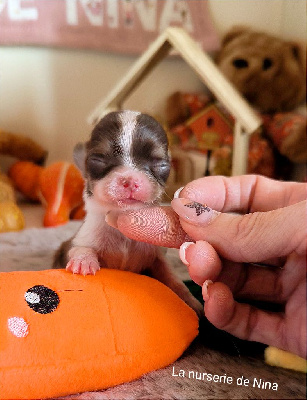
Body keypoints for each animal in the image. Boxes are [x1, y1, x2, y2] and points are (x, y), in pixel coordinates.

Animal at [54, 110, 203, 316]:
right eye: (97, 160)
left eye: (161, 164)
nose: (130, 181)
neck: (121, 220)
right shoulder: (82, 238)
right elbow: (80, 248)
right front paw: (83, 260)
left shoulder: (157, 255)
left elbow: (171, 276)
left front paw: (190, 301)